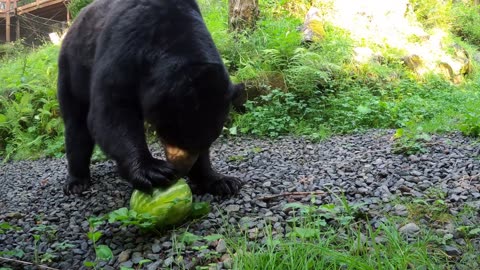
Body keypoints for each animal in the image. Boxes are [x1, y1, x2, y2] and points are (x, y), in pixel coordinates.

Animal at [59, 0, 248, 196]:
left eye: (207, 143)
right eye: (177, 138)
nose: (181, 169)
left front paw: (221, 181)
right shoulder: (122, 46)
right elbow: (111, 111)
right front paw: (152, 170)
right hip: (72, 68)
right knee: (76, 125)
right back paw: (76, 181)